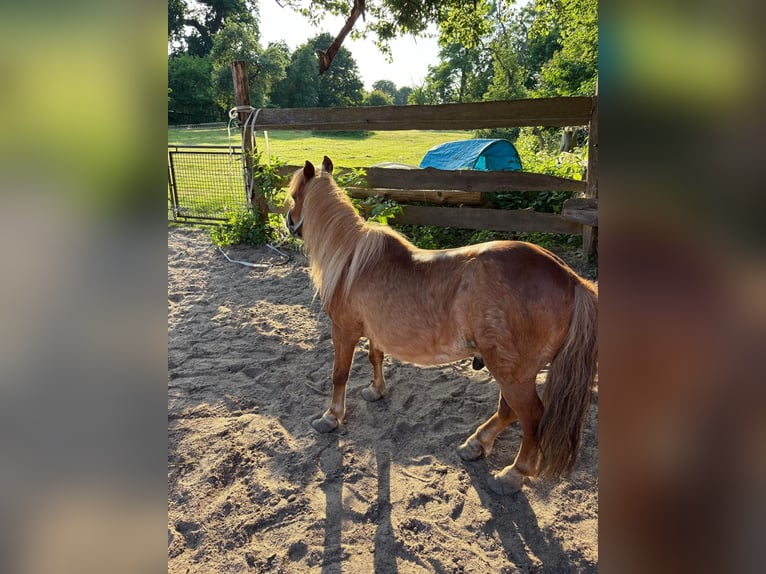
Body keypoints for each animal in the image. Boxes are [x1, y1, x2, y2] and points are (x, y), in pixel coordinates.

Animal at [286, 156, 598, 494]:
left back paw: (514, 473)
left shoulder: (344, 330)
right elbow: (375, 357)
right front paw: (376, 390)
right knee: (509, 411)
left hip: (514, 375)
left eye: (295, 196)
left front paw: (331, 417)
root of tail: (571, 279)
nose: (289, 222)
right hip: (515, 373)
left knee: (531, 418)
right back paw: (476, 444)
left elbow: (339, 374)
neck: (352, 259)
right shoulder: (374, 332)